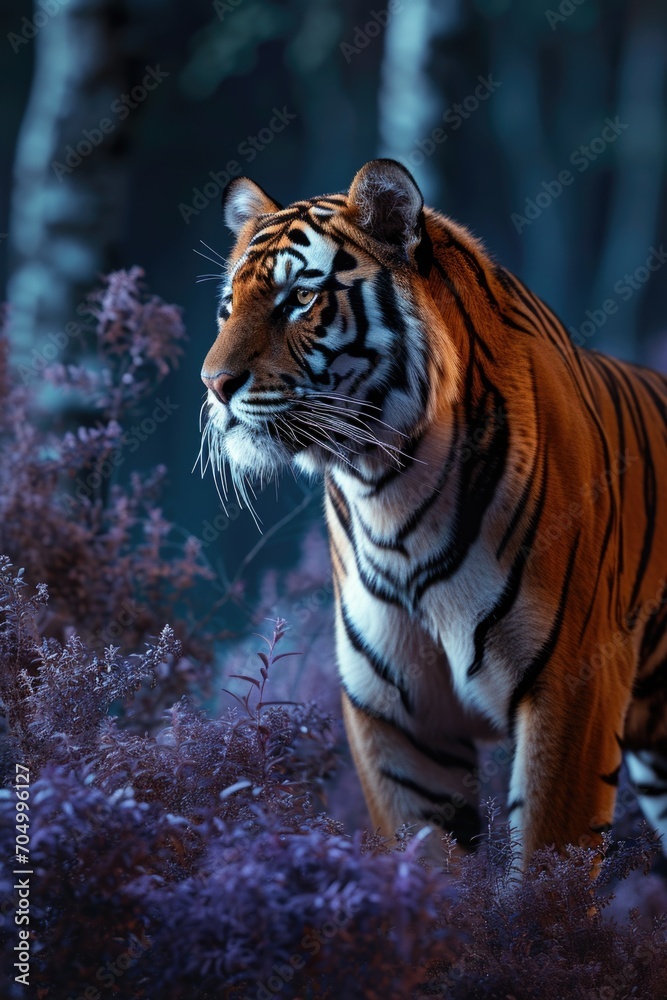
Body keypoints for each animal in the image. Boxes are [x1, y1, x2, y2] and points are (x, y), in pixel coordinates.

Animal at [200, 158, 667, 866]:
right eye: (228, 308)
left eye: (300, 299)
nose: (213, 384)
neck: (389, 492)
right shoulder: (399, 715)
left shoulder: (574, 686)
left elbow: (546, 866)